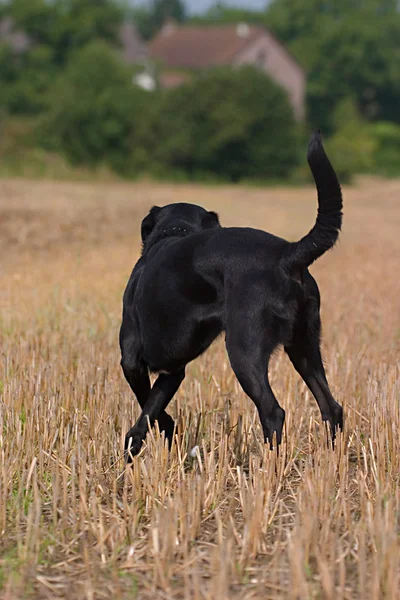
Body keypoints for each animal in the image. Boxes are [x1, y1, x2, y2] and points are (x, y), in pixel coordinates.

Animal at [119, 132, 344, 460]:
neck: (174, 232)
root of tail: (287, 255)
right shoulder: (173, 370)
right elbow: (154, 406)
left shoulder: (132, 359)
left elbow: (147, 405)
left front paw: (136, 444)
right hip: (304, 347)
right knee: (331, 407)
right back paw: (331, 460)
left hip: (244, 349)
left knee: (273, 411)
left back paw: (268, 465)